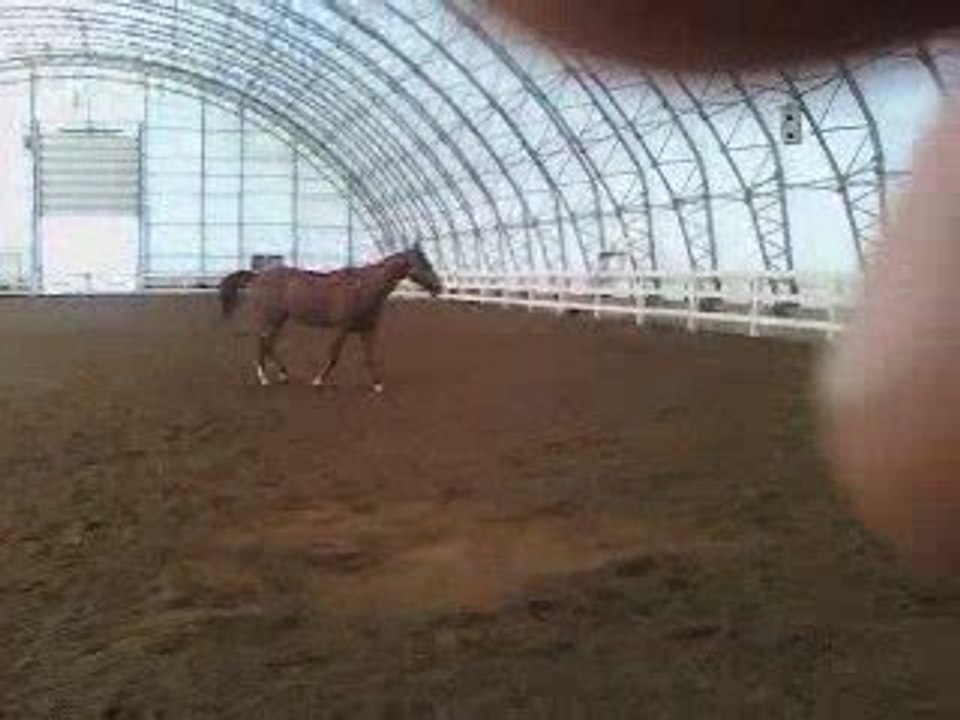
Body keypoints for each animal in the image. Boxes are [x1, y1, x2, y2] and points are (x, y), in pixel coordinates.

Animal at [219, 243, 443, 392]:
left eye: (429, 262)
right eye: (423, 263)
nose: (439, 287)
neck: (363, 288)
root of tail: (258, 276)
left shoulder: (368, 329)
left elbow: (370, 357)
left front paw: (378, 385)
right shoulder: (342, 328)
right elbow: (334, 355)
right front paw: (318, 380)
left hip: (280, 319)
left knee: (269, 343)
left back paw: (283, 375)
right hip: (271, 318)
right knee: (263, 342)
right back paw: (264, 378)